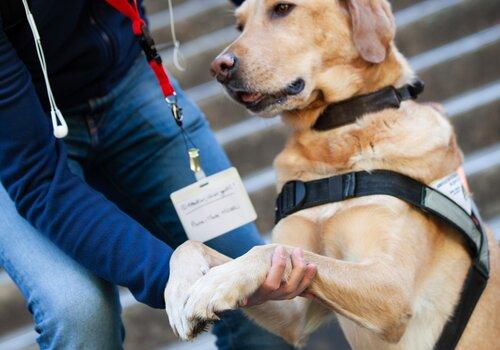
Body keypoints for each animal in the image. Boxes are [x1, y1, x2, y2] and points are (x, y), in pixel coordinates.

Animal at [165, 0, 500, 348]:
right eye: (239, 26)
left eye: (282, 8)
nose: (219, 67)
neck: (335, 137)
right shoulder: (294, 311)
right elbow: (189, 246)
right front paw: (179, 291)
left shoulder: (392, 287)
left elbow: (270, 249)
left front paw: (212, 285)